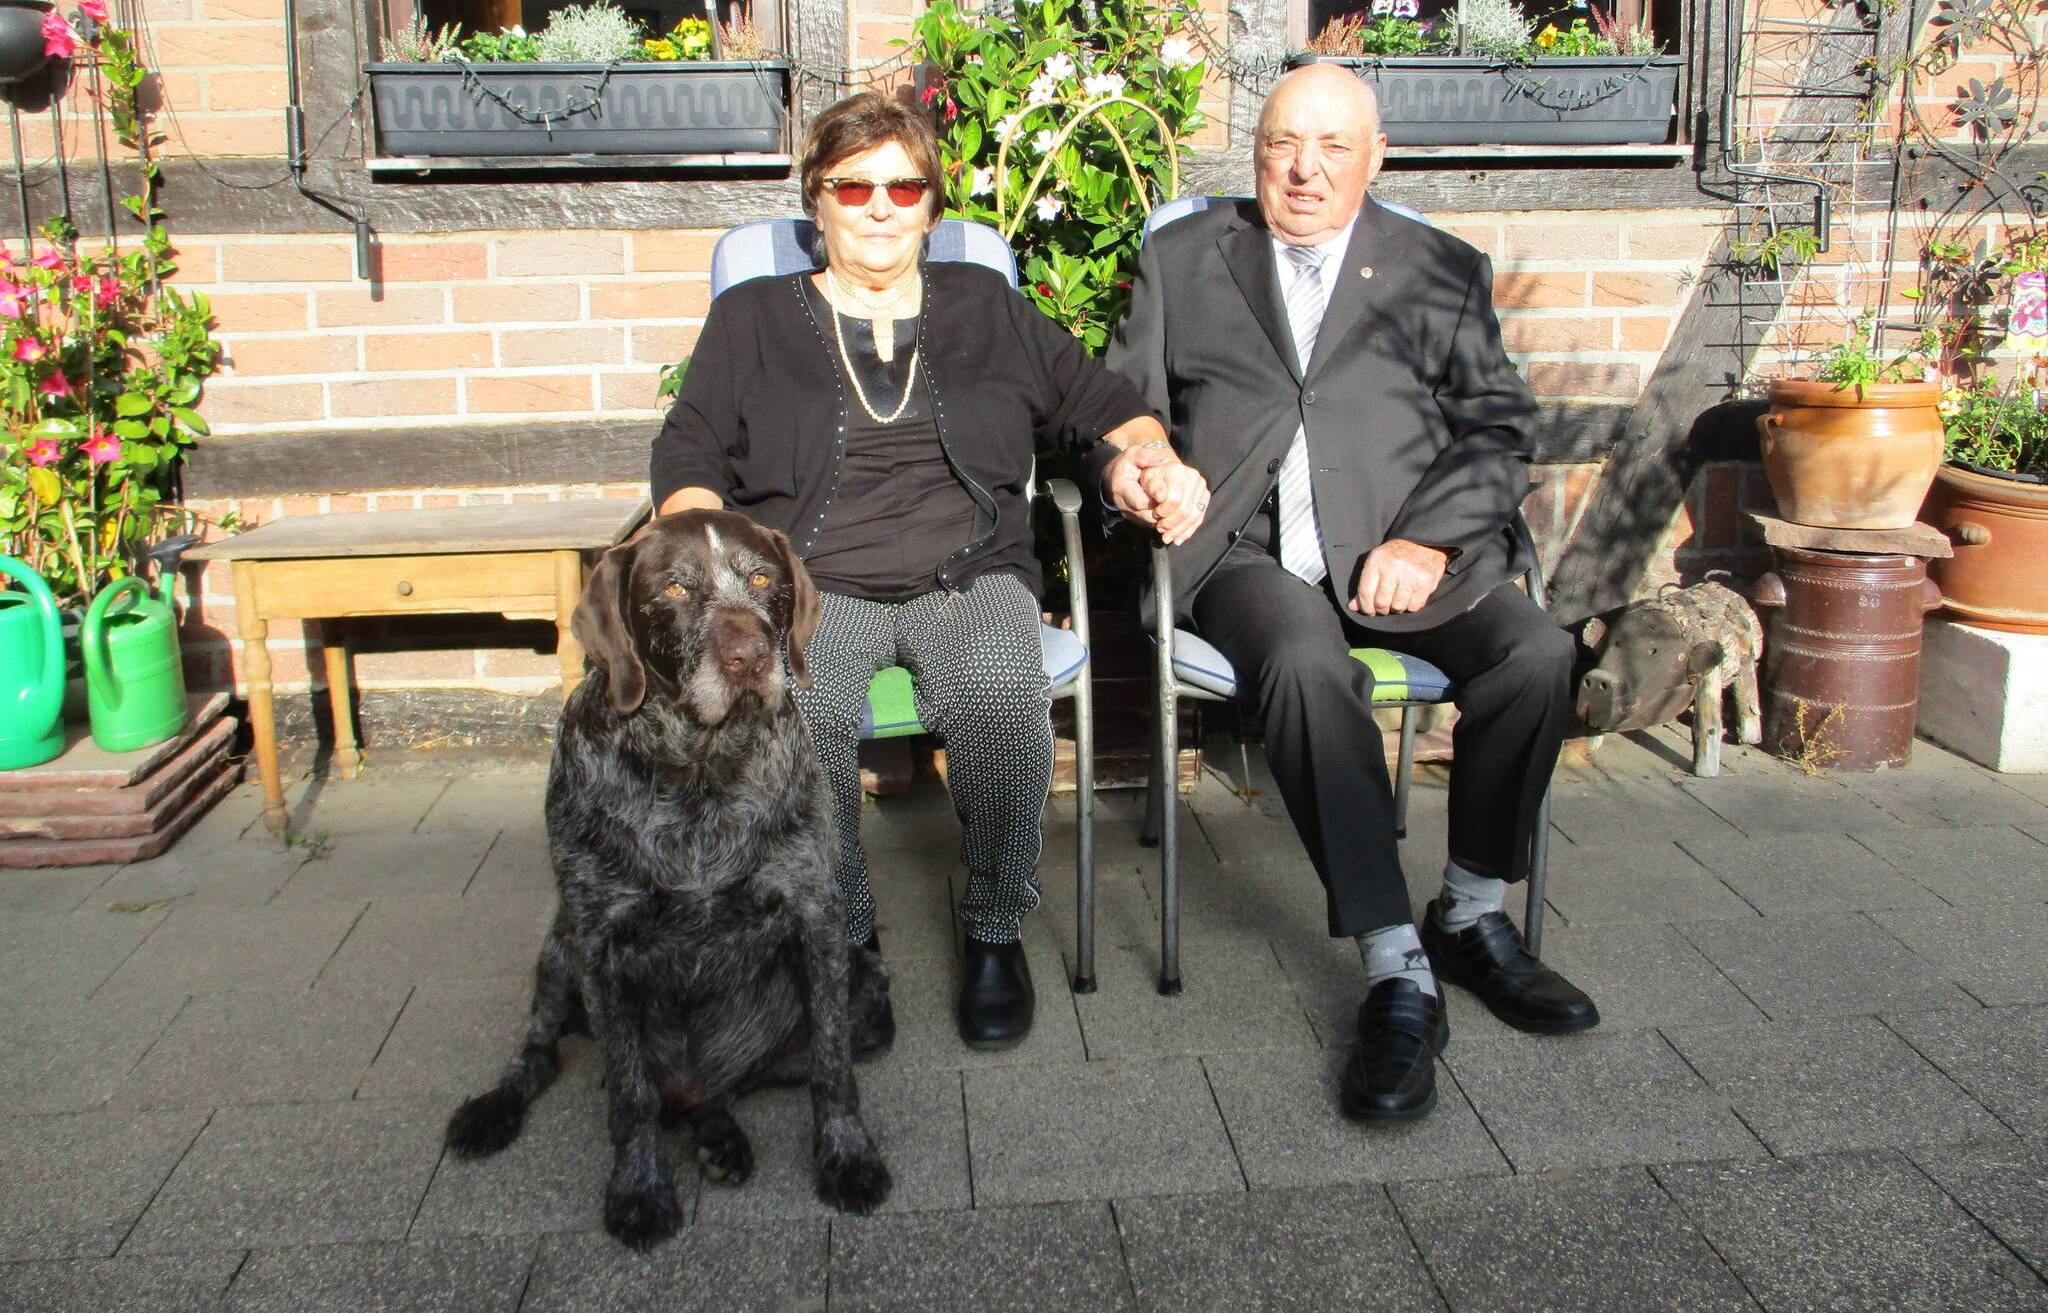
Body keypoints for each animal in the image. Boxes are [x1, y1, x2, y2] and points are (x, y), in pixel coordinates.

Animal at [444, 503, 892, 1245]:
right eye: (675, 589)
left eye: (762, 577)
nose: (750, 656)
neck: (701, 768)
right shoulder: (598, 944)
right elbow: (630, 1095)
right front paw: (639, 1190)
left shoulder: (818, 921)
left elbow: (833, 1069)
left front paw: (848, 1158)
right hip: (558, 951)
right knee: (542, 1056)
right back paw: (493, 1109)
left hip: (864, 984)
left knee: (722, 1089)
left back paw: (721, 1137)